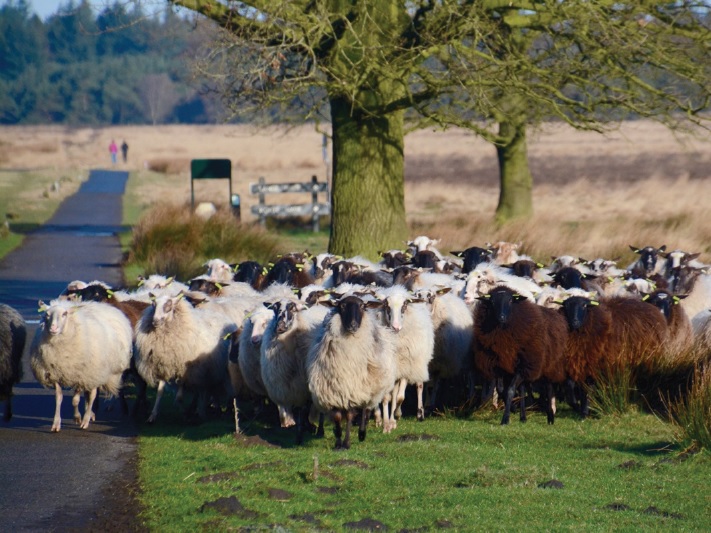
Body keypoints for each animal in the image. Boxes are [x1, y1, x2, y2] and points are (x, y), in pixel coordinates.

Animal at [29, 302, 133, 430]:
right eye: (47, 315)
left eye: (64, 314)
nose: (53, 328)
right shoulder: (55, 374)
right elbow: (58, 398)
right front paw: (56, 423)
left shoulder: (80, 374)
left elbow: (75, 400)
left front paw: (77, 417)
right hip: (91, 375)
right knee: (88, 394)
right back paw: (90, 414)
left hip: (95, 371)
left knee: (92, 395)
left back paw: (86, 419)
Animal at [134, 290, 234, 420]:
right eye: (153, 304)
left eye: (169, 305)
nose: (155, 321)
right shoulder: (163, 366)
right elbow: (160, 392)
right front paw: (153, 415)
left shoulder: (184, 370)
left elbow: (179, 397)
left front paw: (185, 412)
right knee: (205, 389)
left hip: (211, 369)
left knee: (210, 389)